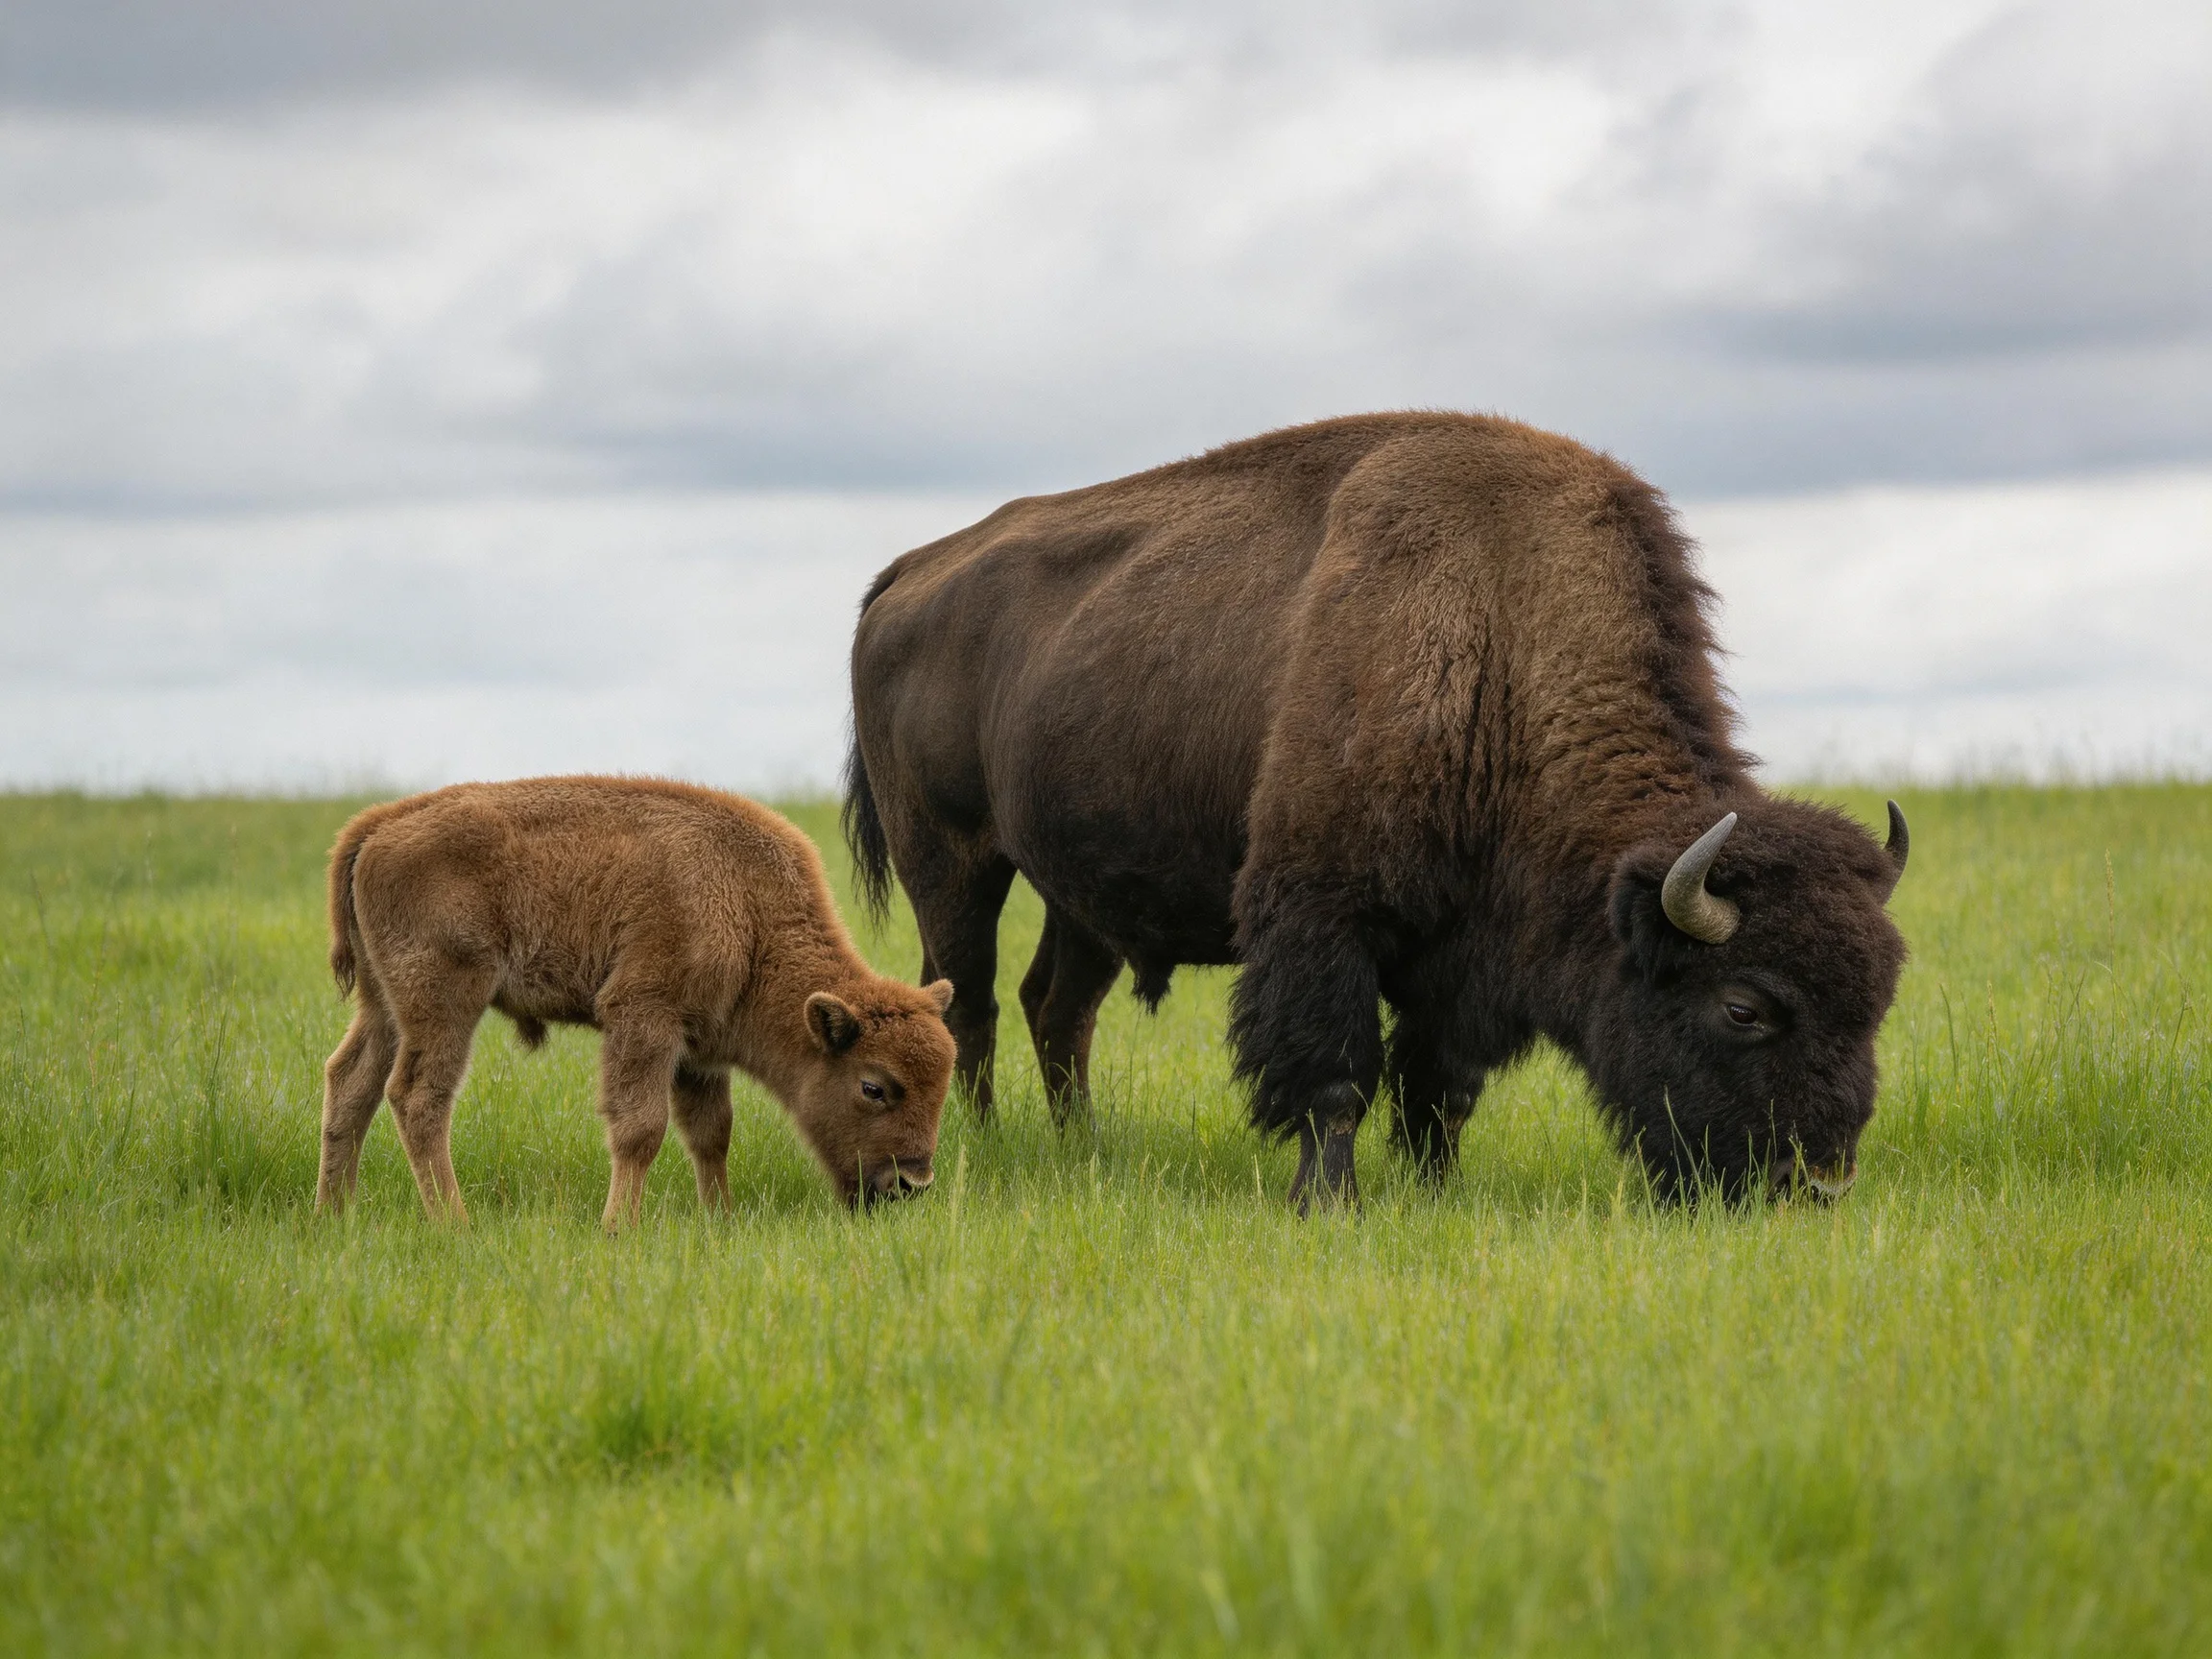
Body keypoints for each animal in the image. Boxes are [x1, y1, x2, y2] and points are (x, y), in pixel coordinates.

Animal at [317, 776, 956, 1225]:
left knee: (350, 1083)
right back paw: (456, 1224)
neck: (751, 913)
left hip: (383, 1006)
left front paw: (719, 1221)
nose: (912, 1184)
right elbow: (641, 1129)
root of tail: (379, 824)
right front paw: (618, 1228)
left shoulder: (699, 1051)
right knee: (418, 1097)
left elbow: (711, 1133)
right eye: (873, 1087)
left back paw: (334, 1216)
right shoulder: (644, 1017)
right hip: (445, 1001)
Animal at [843, 412, 1909, 1210]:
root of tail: (908, 570)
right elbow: (1337, 1076)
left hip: (1079, 897)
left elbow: (1440, 1089)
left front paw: (1434, 1190)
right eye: (1744, 1007)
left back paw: (1083, 1147)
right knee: (967, 1000)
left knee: (1055, 1006)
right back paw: (980, 1146)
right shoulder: (1323, 914)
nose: (1817, 1184)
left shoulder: (1463, 956)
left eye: (1877, 1001)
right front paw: (1331, 1202)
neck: (1501, 623)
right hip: (952, 861)